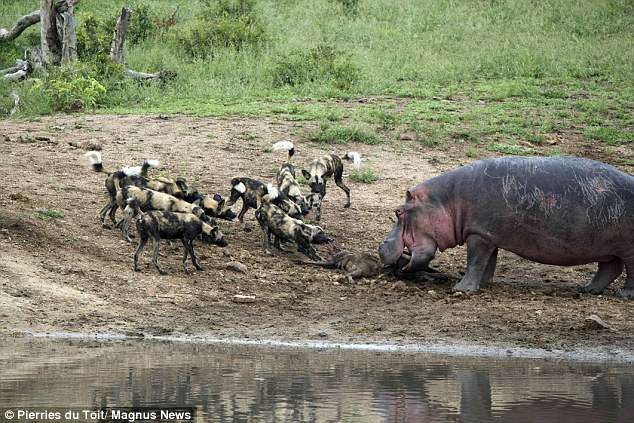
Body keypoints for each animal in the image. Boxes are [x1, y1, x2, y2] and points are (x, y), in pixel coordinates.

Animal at [378, 157, 628, 298]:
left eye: (398, 211)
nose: (381, 245)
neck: (447, 201)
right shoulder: (487, 234)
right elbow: (487, 263)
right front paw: (483, 284)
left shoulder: (478, 235)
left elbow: (475, 261)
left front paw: (461, 289)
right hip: (611, 250)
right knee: (609, 269)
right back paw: (587, 290)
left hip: (628, 249)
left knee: (628, 272)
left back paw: (624, 295)